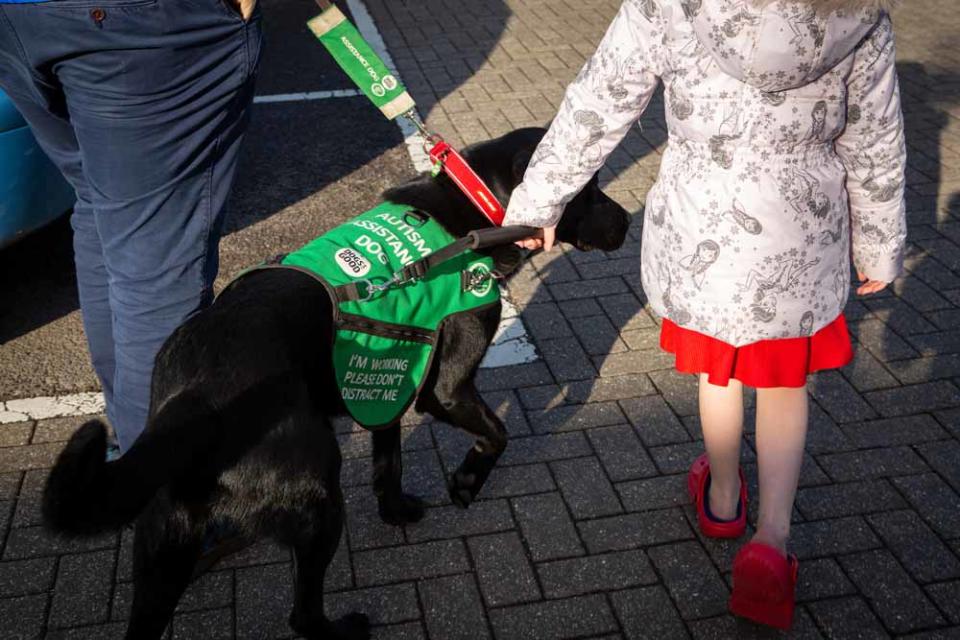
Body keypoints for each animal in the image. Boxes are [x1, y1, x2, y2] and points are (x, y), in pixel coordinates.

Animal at [43, 127, 632, 636]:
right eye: (589, 191)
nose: (628, 222)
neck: (476, 214)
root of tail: (195, 399)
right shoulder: (446, 388)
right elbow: (497, 434)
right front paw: (466, 481)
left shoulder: (394, 378)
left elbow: (389, 461)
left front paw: (396, 511)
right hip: (318, 495)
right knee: (302, 613)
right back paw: (341, 628)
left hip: (161, 544)